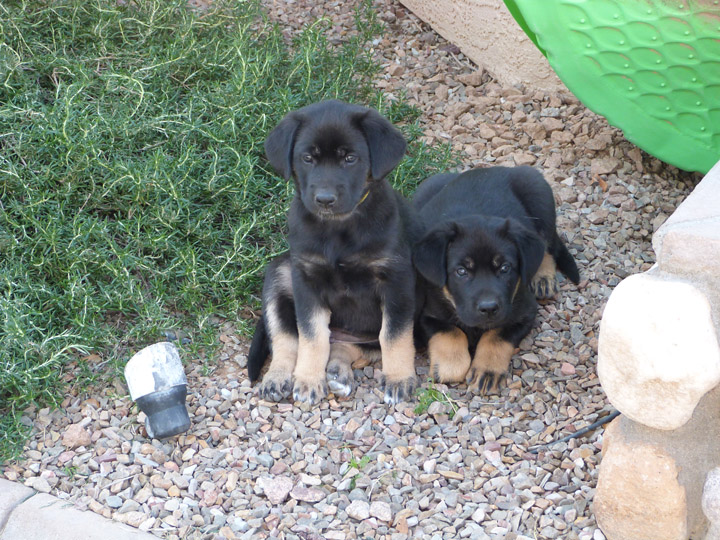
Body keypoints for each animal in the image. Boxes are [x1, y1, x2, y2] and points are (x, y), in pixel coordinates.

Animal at [246, 100, 420, 404]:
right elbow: (311, 336)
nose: (324, 200)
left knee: (351, 347)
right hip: (280, 271)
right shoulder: (307, 279)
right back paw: (278, 377)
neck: (339, 229)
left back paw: (339, 374)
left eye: (350, 158)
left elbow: (394, 335)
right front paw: (307, 380)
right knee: (287, 340)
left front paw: (399, 379)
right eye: (307, 158)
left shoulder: (396, 280)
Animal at [410, 165, 580, 392]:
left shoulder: (523, 312)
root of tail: (491, 169)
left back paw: (543, 277)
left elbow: (496, 336)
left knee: (546, 243)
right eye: (461, 271)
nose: (489, 308)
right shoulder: (427, 315)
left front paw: (487, 370)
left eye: (505, 268)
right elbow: (450, 332)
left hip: (538, 191)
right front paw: (449, 366)